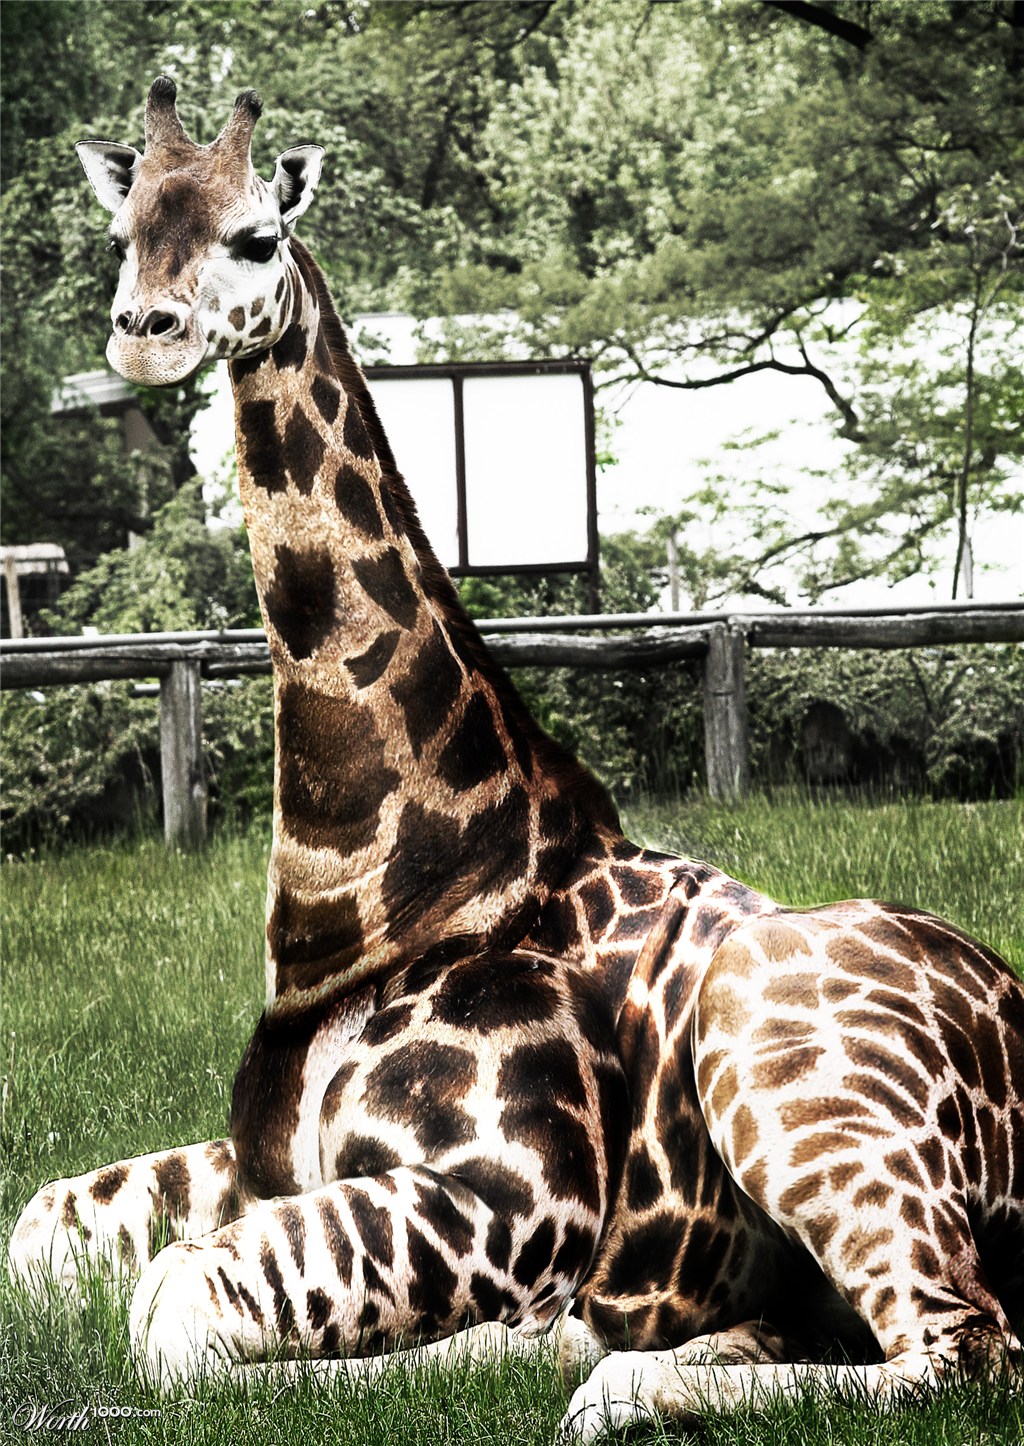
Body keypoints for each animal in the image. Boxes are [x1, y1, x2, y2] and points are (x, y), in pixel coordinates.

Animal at [8, 79, 1022, 1442]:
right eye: (123, 233)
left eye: (257, 236)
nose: (145, 336)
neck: (382, 881)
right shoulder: (269, 1162)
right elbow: (40, 1235)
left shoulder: (515, 1189)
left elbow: (170, 1314)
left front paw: (521, 1339)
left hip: (785, 1060)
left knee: (961, 1347)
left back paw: (615, 1374)